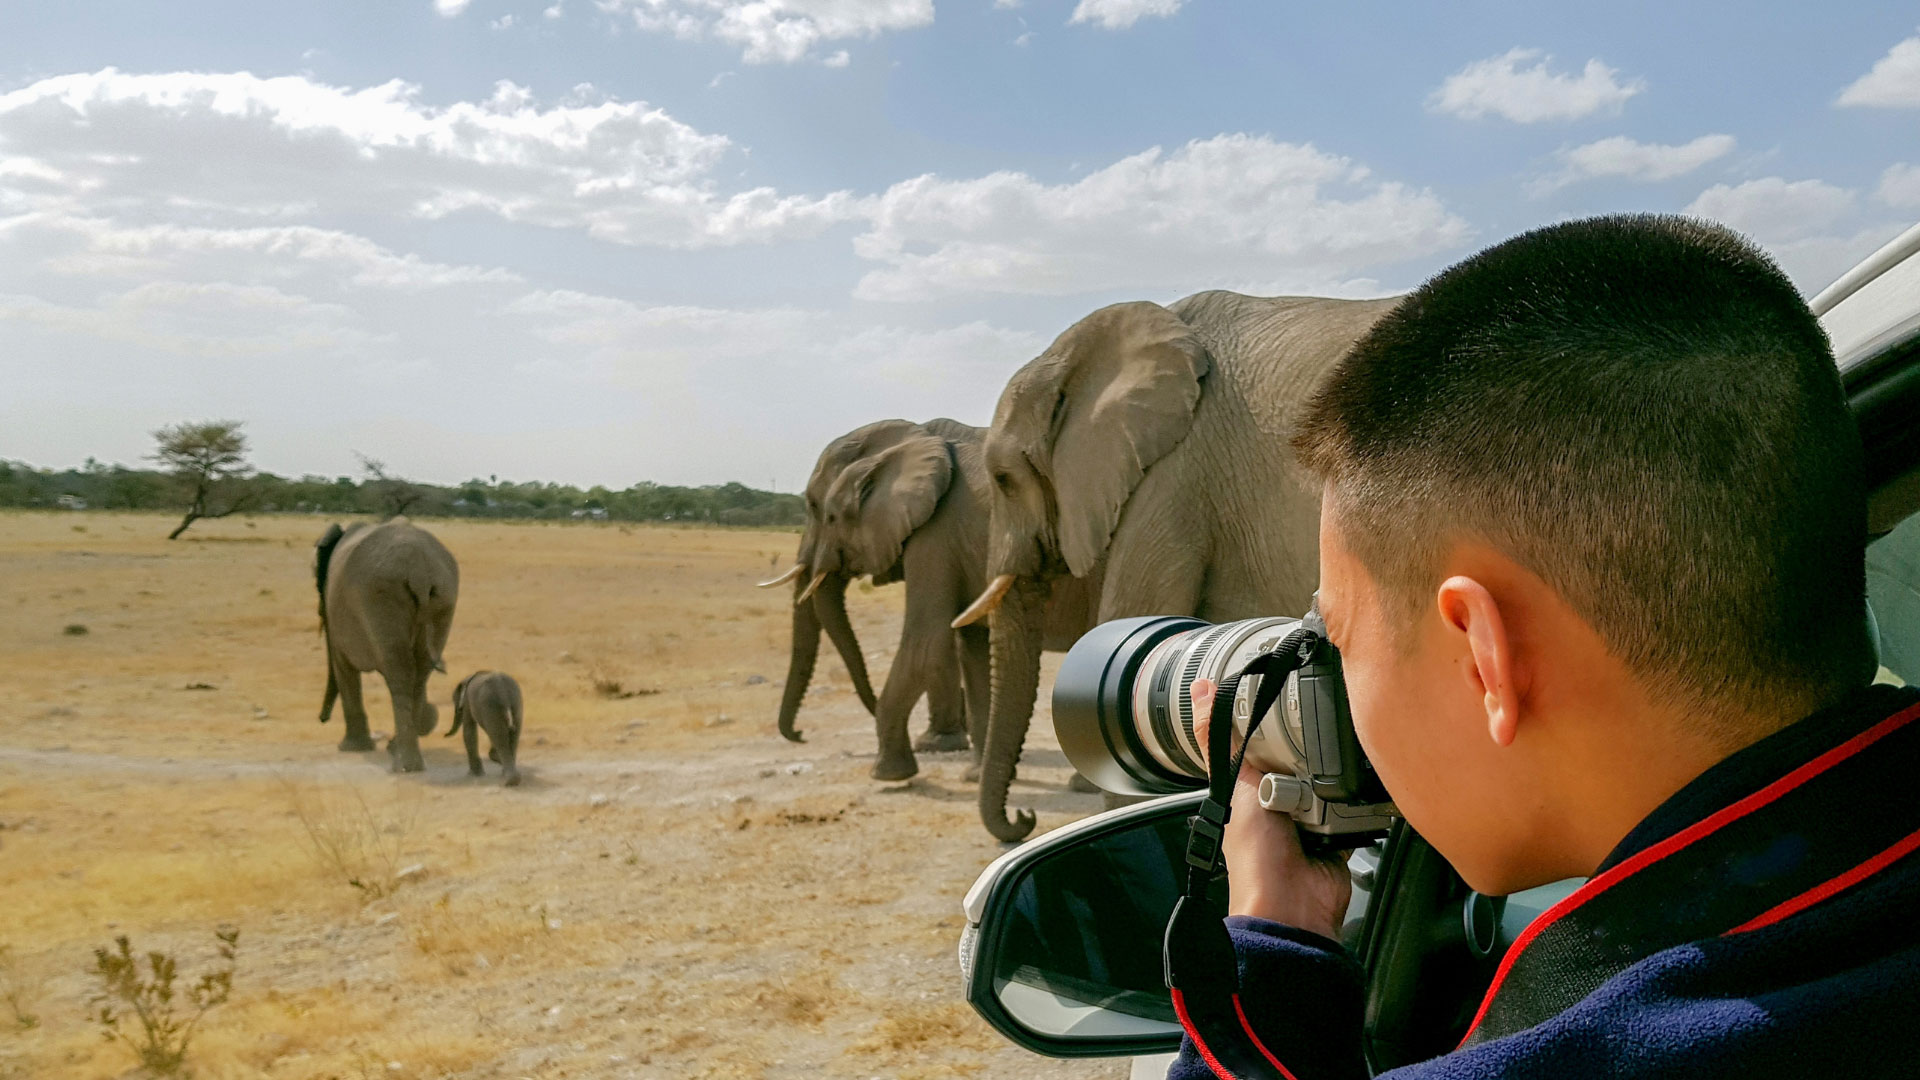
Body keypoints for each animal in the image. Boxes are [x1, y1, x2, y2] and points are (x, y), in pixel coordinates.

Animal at [320, 518, 462, 768]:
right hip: (443, 597)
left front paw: (350, 748)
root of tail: (419, 571)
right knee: (420, 671)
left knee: (401, 671)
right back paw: (401, 752)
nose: (322, 719)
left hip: (381, 598)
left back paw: (405, 764)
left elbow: (343, 668)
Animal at [760, 417, 1098, 776]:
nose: (800, 735)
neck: (913, 437)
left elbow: (928, 639)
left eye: (818, 510)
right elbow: (967, 642)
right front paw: (968, 769)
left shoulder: (938, 532)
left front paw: (896, 769)